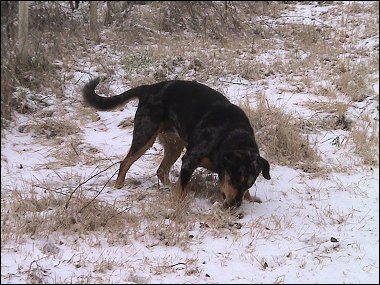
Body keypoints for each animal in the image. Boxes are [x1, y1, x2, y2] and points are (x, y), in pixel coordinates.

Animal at [82, 77, 270, 206]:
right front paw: (178, 204)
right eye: (233, 180)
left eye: (248, 184)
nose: (235, 205)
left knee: (161, 170)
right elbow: (182, 186)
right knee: (125, 163)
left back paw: (167, 187)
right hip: (145, 136)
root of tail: (149, 88)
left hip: (174, 144)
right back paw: (118, 187)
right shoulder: (189, 160)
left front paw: (250, 199)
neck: (231, 136)